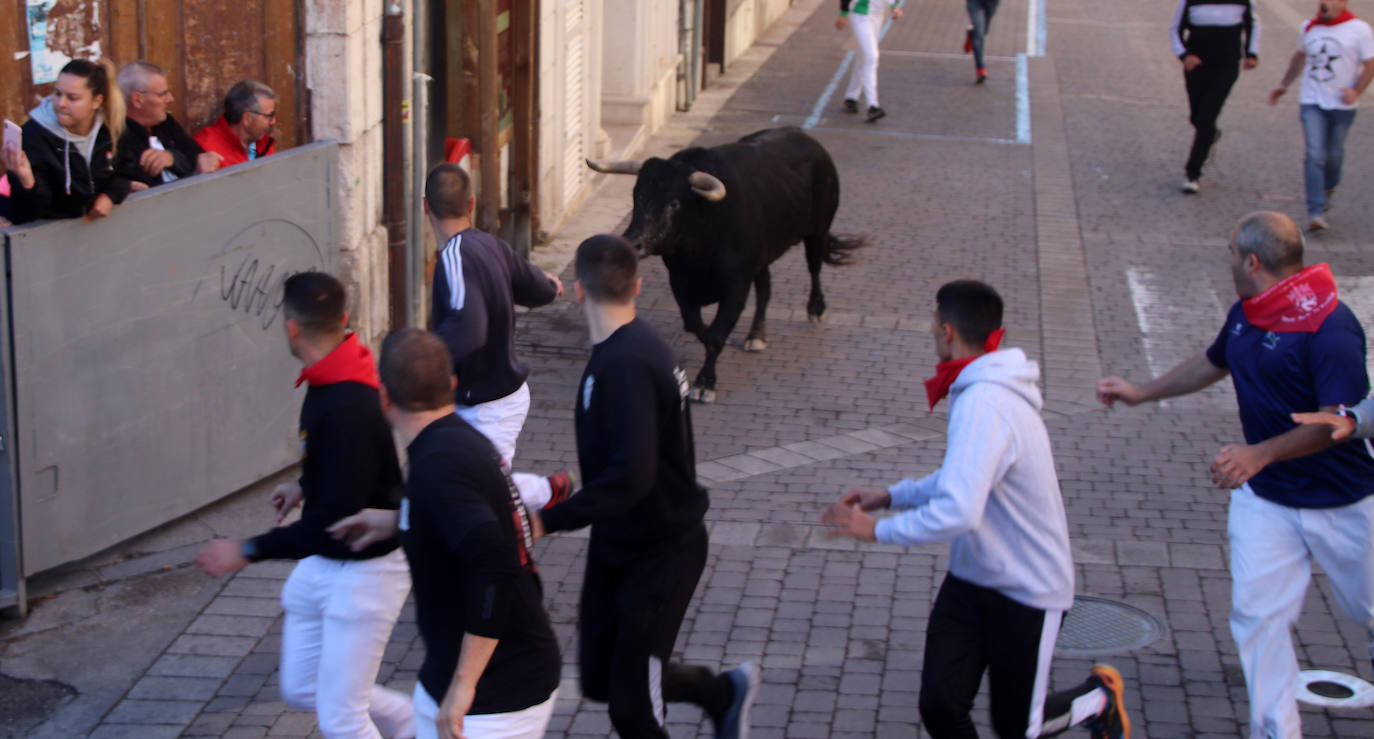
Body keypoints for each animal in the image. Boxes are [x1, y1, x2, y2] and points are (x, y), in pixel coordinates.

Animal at [588, 127, 862, 403]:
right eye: (636, 195)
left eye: (674, 203)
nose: (633, 243)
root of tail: (809, 141)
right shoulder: (679, 282)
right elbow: (696, 326)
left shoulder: (736, 286)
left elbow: (716, 335)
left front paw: (705, 383)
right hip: (762, 258)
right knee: (765, 290)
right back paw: (756, 335)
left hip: (818, 231)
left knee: (814, 268)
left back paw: (816, 309)